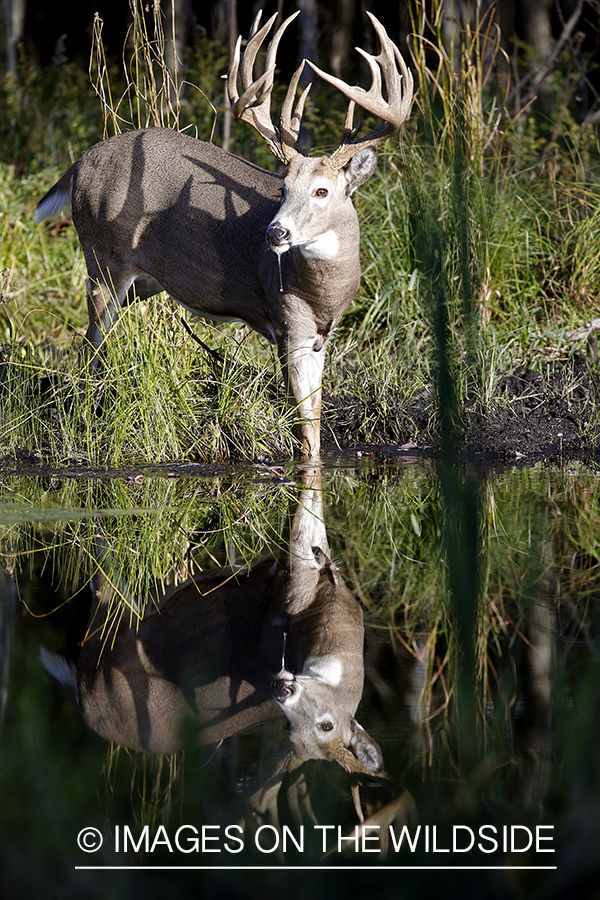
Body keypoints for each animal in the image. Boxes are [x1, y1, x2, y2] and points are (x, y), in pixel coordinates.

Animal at [36, 10, 412, 454]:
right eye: (283, 188)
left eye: (322, 190)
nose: (275, 233)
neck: (324, 294)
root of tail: (80, 162)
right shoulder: (289, 323)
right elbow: (304, 431)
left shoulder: (322, 337)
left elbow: (316, 428)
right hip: (104, 260)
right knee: (88, 348)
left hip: (138, 282)